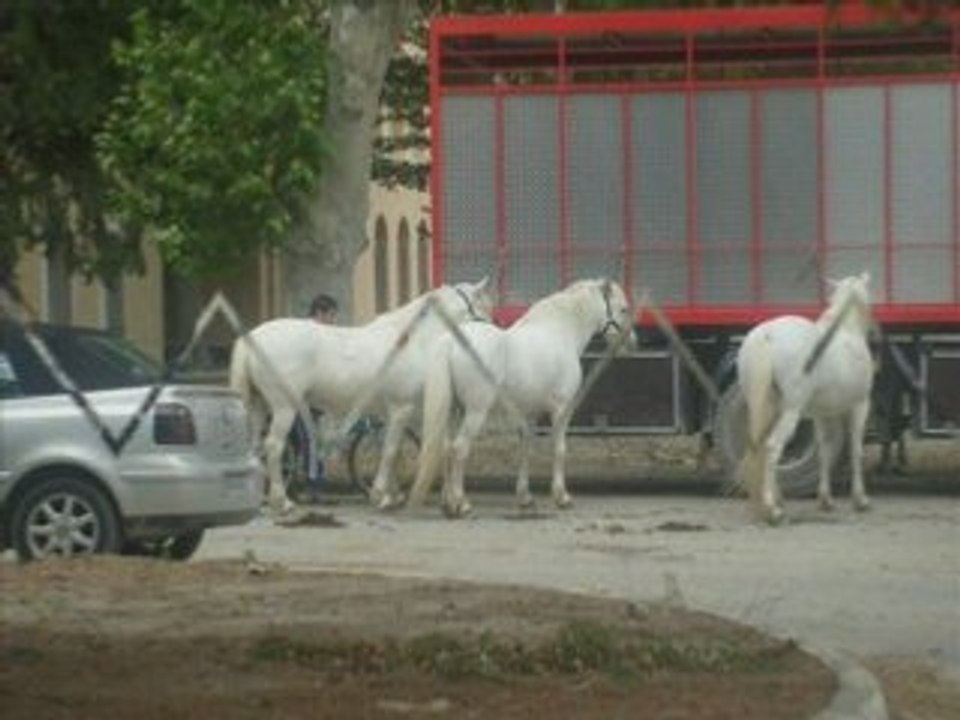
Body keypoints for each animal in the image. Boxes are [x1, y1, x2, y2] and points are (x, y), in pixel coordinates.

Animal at [229, 278, 492, 513]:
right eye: (481, 305)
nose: (491, 326)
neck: (411, 341)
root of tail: (252, 338)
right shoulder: (402, 408)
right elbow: (391, 451)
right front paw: (380, 495)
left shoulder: (387, 414)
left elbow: (388, 450)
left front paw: (391, 495)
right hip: (284, 407)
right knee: (274, 447)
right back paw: (281, 502)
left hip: (259, 406)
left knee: (254, 445)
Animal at [408, 278, 635, 518]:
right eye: (623, 309)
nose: (632, 343)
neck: (559, 331)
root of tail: (452, 342)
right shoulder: (561, 409)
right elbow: (559, 449)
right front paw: (562, 497)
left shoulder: (529, 414)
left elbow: (526, 448)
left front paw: (525, 498)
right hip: (476, 411)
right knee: (459, 449)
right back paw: (461, 504)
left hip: (454, 411)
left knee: (445, 448)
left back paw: (447, 503)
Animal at [737, 272, 875, 525]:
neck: (846, 331)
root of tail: (767, 337)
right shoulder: (860, 405)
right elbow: (856, 450)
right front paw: (860, 500)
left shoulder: (821, 414)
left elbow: (824, 451)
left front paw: (826, 500)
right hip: (791, 411)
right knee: (773, 447)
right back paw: (773, 510)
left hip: (763, 407)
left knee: (759, 446)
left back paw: (775, 501)